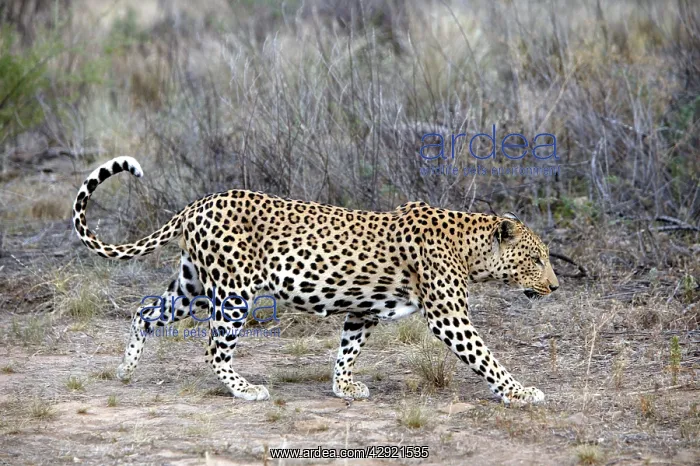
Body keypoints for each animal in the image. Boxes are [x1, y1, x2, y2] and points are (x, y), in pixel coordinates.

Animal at [72, 156, 559, 404]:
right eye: (537, 259)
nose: (555, 286)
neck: (471, 247)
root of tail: (198, 202)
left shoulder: (363, 311)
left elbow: (347, 350)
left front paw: (343, 386)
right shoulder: (448, 317)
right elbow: (487, 358)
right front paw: (521, 392)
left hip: (192, 287)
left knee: (144, 310)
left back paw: (125, 370)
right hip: (232, 293)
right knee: (213, 348)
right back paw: (246, 390)